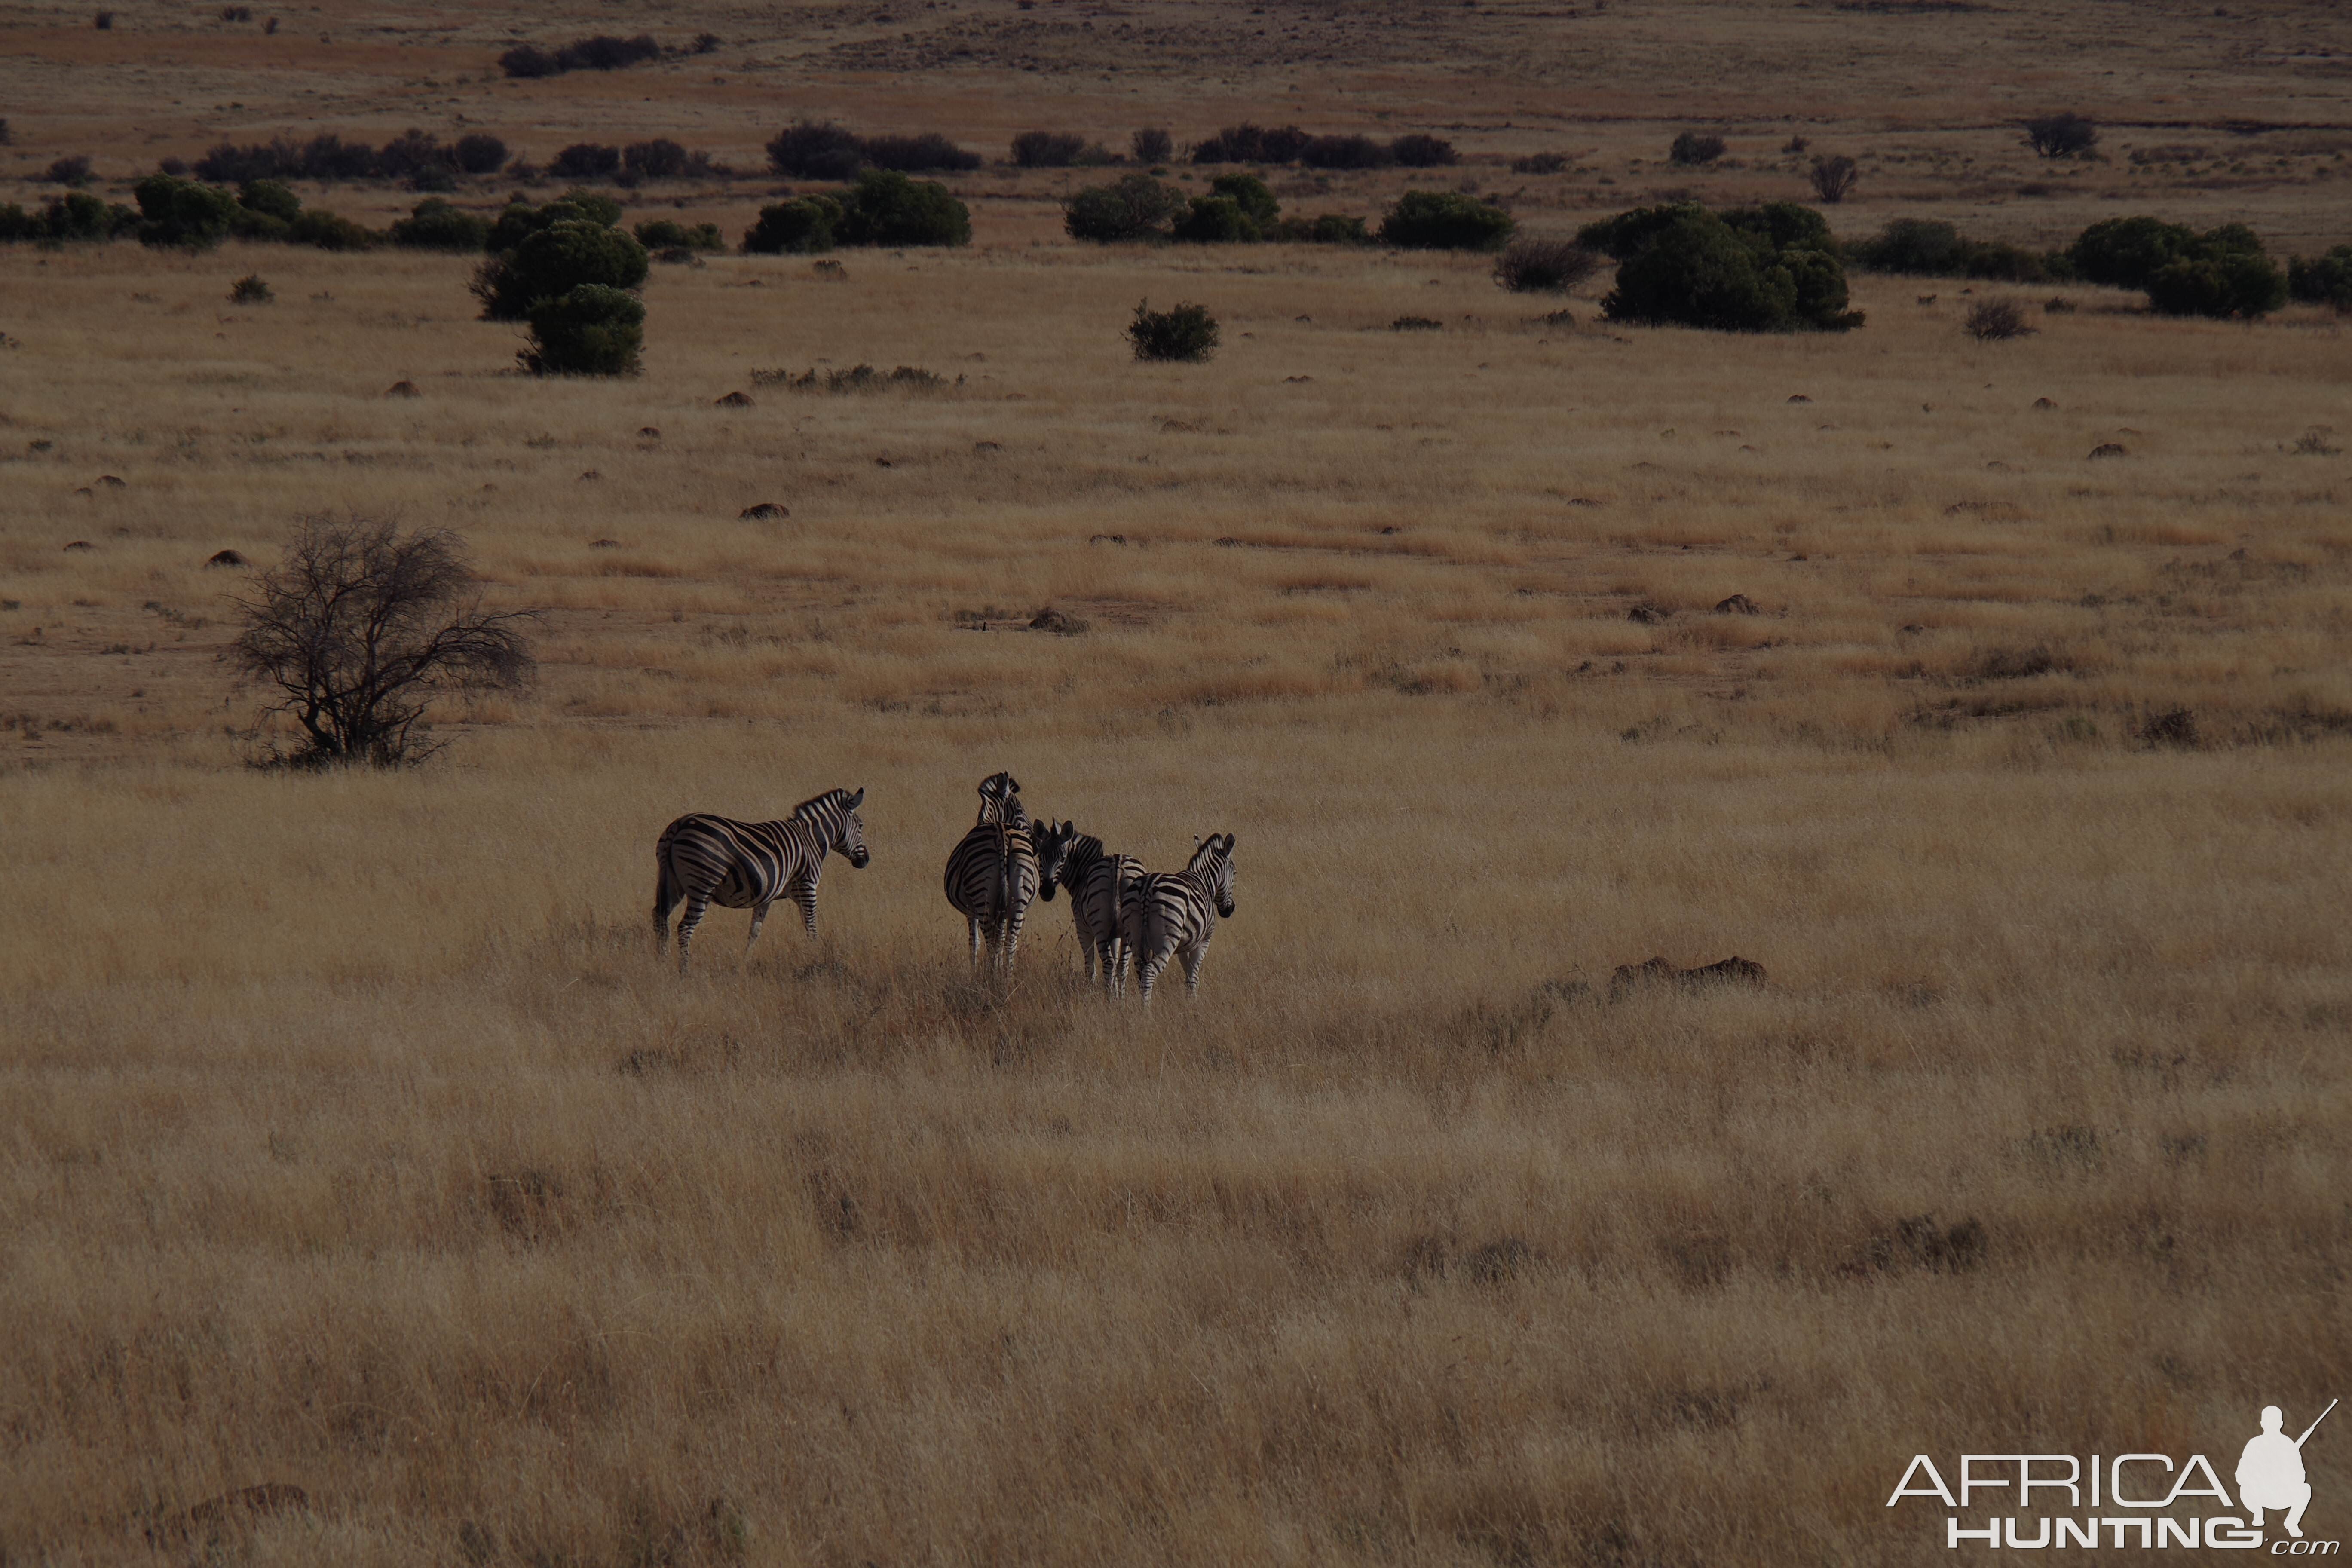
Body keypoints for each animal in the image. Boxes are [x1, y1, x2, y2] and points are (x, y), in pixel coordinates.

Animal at [654, 790, 875, 973]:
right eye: (861, 826)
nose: (865, 861)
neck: (811, 839)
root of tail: (681, 825)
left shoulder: (767, 895)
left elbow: (755, 931)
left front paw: (744, 963)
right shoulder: (807, 886)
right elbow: (811, 927)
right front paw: (818, 957)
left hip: (671, 882)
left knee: (660, 917)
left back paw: (662, 962)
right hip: (703, 884)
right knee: (685, 927)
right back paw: (684, 971)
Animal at [1054, 832, 1152, 992]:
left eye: (1062, 859)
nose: (1046, 892)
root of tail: (1117, 864)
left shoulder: (1083, 927)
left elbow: (1090, 962)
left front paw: (1092, 989)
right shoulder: (1116, 933)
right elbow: (1117, 957)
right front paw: (1116, 990)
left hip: (1100, 925)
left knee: (1108, 962)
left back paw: (1108, 996)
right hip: (1130, 926)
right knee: (1125, 963)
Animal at [1115, 832, 1232, 1006]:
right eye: (1235, 873)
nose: (1229, 911)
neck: (1204, 881)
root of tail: (1148, 887)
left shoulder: (1185, 944)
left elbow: (1189, 973)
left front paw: (1190, 998)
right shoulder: (1204, 940)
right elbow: (1194, 973)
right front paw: (1194, 1001)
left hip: (1134, 935)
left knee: (1138, 971)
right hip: (1167, 940)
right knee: (1149, 972)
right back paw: (1146, 1009)